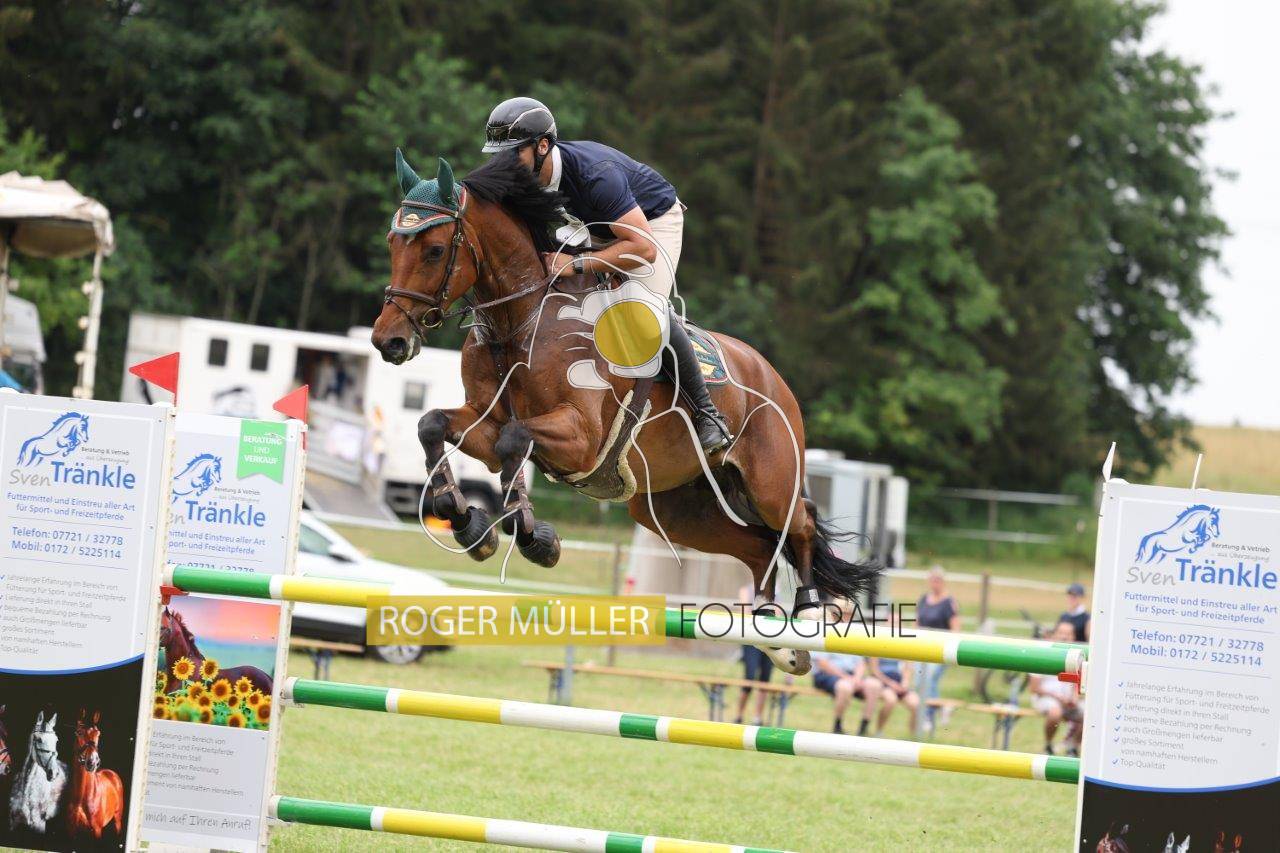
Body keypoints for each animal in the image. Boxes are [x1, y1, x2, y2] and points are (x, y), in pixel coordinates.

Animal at [65, 709, 124, 839]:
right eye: (79, 733)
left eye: (98, 733)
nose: (93, 761)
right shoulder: (71, 830)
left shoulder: (96, 830)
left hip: (117, 820)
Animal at [369, 150, 880, 675]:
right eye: (392, 242)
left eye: (434, 250)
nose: (389, 341)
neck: (522, 319)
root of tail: (773, 376)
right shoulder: (484, 423)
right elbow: (434, 424)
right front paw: (465, 520)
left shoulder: (580, 437)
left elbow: (515, 439)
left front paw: (534, 537)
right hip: (678, 510)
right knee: (758, 548)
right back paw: (776, 639)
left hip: (769, 482)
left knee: (801, 523)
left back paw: (812, 611)